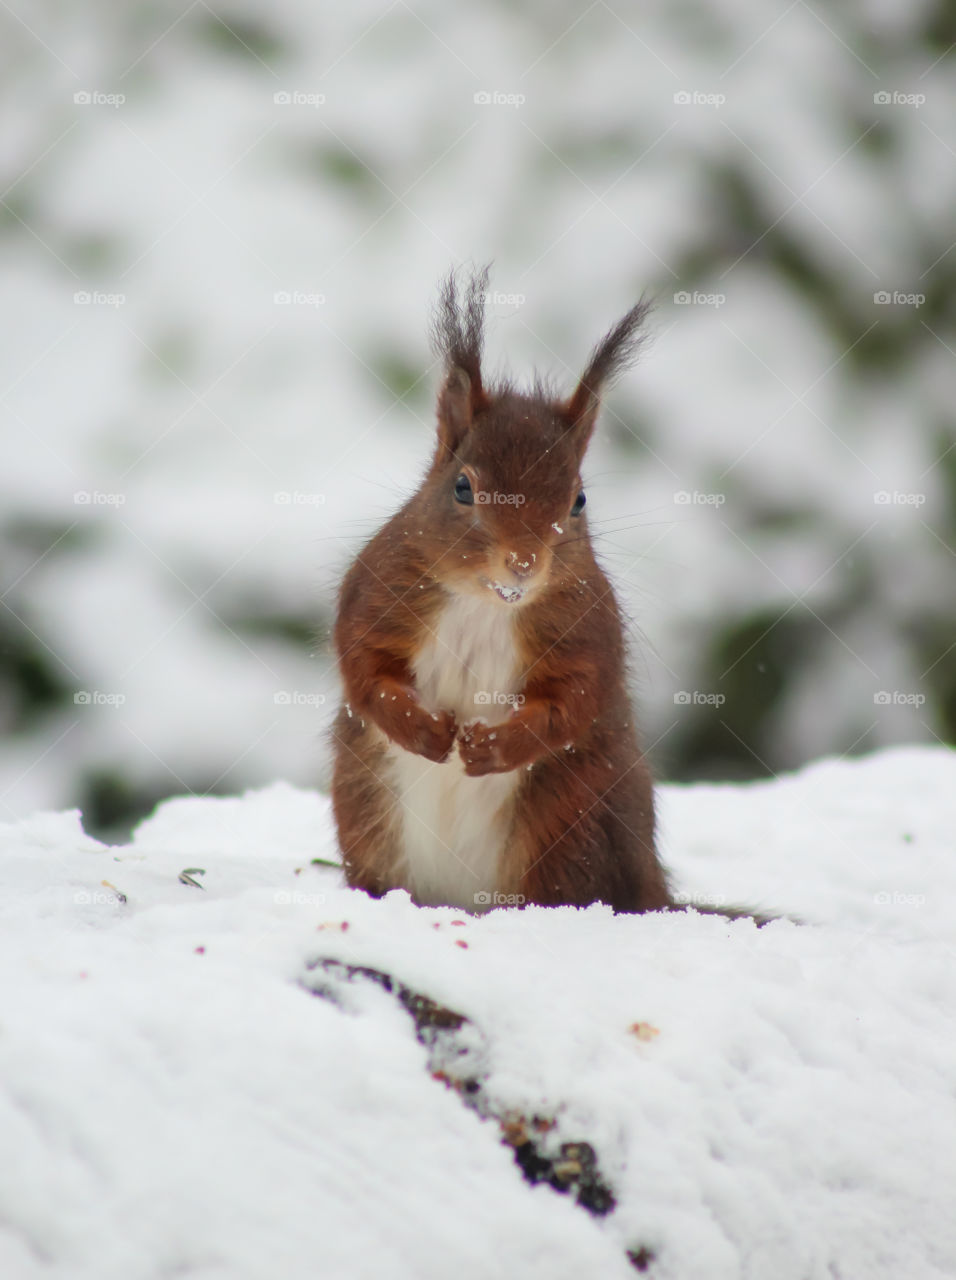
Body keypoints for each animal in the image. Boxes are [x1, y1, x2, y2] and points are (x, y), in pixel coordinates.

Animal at [330, 264, 747, 916]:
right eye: (462, 488)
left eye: (578, 500)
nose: (523, 563)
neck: (485, 604)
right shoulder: (380, 591)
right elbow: (365, 666)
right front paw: (424, 729)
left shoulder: (585, 627)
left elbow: (571, 702)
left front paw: (492, 746)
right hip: (365, 813)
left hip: (565, 832)